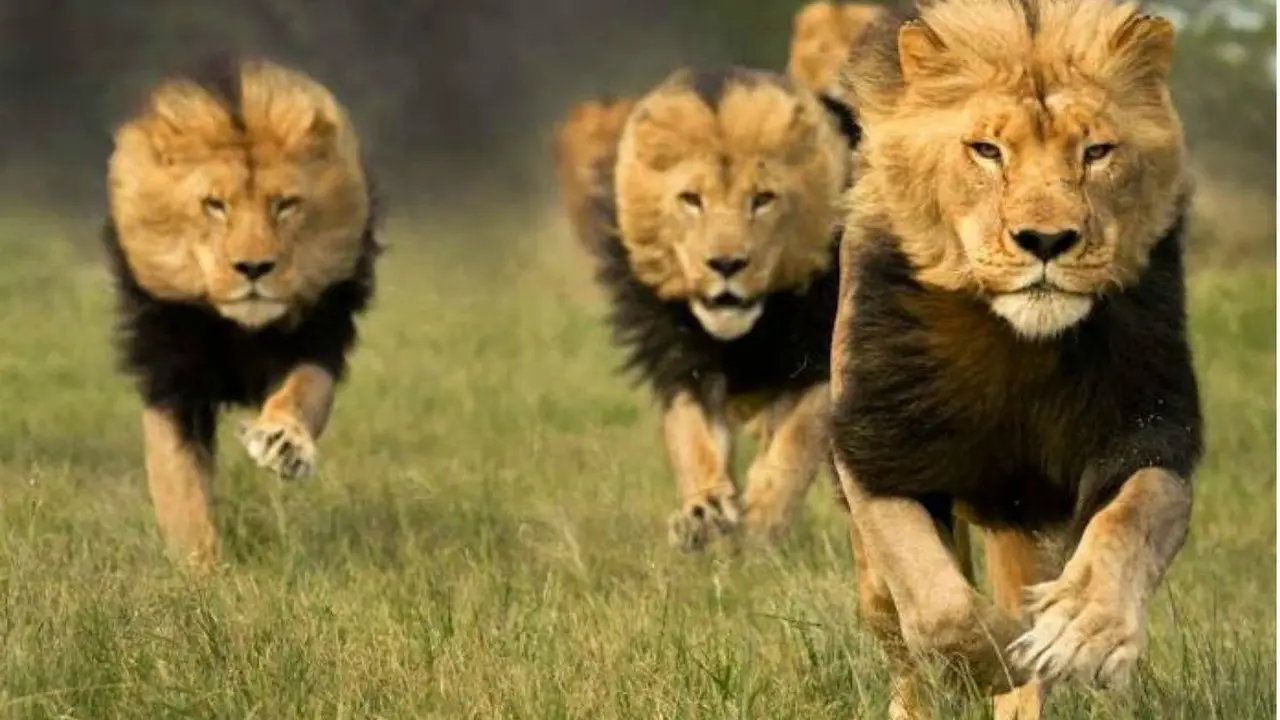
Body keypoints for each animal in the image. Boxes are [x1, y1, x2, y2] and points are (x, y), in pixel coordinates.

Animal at [102, 54, 381, 571]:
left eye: (285, 205)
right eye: (215, 205)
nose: (253, 267)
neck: (237, 330)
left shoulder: (317, 337)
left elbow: (303, 393)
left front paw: (284, 442)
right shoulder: (171, 374)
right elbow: (179, 480)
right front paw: (200, 568)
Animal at [556, 66, 859, 551]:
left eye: (763, 199)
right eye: (691, 199)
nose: (726, 264)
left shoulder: (821, 354)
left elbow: (796, 440)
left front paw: (762, 523)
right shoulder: (680, 354)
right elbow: (692, 435)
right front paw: (704, 512)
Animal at [826, 1, 1201, 718]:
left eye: (1096, 152)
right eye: (987, 150)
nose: (1047, 240)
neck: (1017, 346)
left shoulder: (1148, 427)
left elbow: (1132, 516)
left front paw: (1082, 628)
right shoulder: (875, 445)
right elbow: (939, 605)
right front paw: (992, 661)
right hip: (877, 571)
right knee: (900, 635)